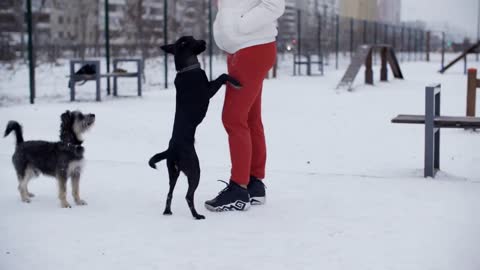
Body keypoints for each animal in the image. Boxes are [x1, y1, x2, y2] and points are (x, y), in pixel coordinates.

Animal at [148, 35, 240, 220]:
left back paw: (168, 211)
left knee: (169, 193)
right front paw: (236, 82)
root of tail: (171, 149)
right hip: (194, 169)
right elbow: (223, 75)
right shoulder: (208, 90)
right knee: (188, 196)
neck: (187, 69)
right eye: (190, 40)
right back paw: (197, 215)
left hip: (173, 173)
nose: (204, 41)